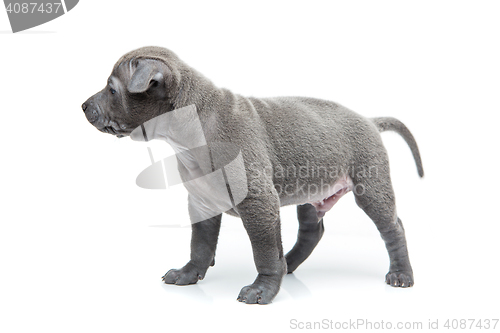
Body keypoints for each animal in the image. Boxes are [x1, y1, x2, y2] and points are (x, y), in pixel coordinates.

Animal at [82, 46, 422, 304]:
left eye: (111, 89)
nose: (83, 105)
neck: (194, 130)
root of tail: (369, 120)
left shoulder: (259, 204)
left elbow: (265, 252)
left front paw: (263, 289)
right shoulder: (202, 204)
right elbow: (200, 244)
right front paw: (189, 273)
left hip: (371, 187)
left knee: (394, 227)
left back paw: (401, 273)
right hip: (311, 192)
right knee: (312, 232)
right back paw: (289, 264)